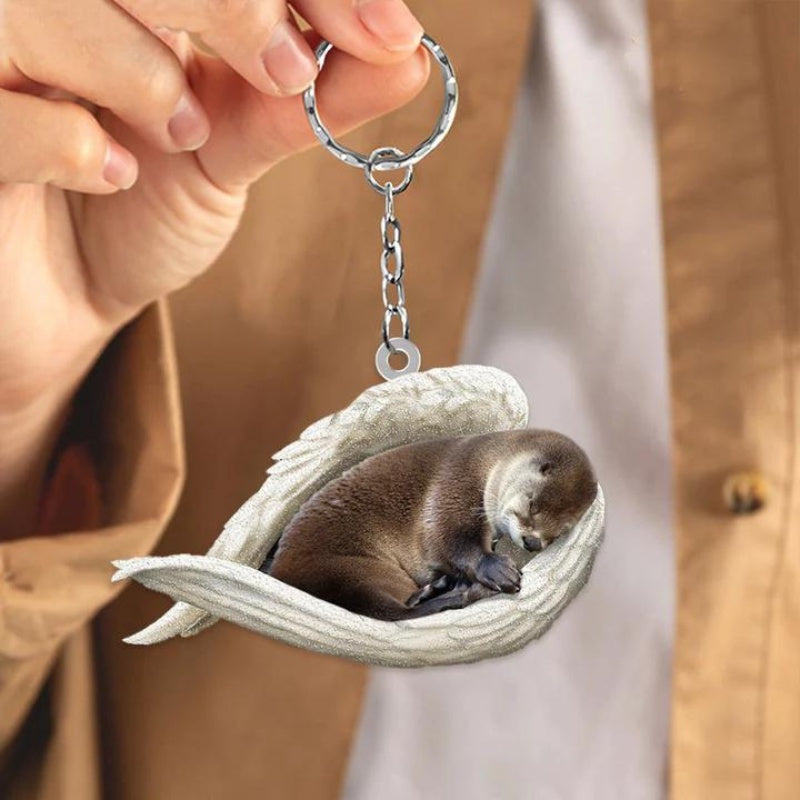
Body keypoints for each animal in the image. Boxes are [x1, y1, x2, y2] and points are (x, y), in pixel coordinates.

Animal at [264, 430, 597, 621]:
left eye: (559, 532)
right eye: (532, 504)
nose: (532, 543)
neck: (487, 461)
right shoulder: (456, 480)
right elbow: (445, 536)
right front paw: (496, 568)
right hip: (348, 568)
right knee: (395, 612)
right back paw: (446, 590)